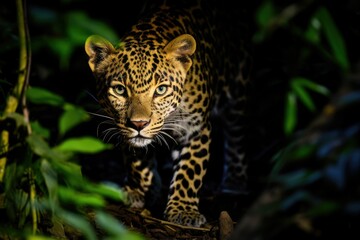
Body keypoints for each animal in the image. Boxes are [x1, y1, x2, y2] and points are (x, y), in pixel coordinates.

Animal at [86, 0, 252, 227]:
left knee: (236, 132)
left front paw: (183, 210)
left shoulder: (196, 128)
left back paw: (235, 180)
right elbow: (137, 158)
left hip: (237, 87)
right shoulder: (122, 126)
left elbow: (190, 170)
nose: (139, 124)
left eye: (161, 90)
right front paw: (140, 190)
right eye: (120, 90)